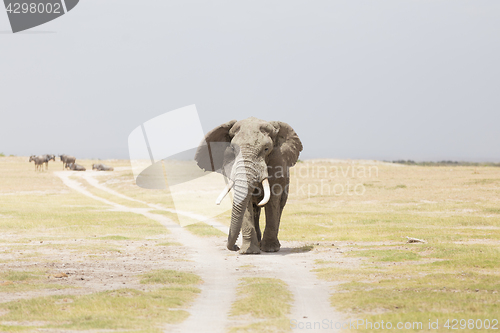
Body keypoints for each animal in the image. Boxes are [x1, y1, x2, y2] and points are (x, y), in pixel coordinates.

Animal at [195, 117, 302, 254]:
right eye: (233, 149)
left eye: (266, 149)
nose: (235, 247)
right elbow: (246, 203)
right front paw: (248, 251)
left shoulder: (278, 164)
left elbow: (273, 201)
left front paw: (270, 249)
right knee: (255, 210)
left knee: (280, 205)